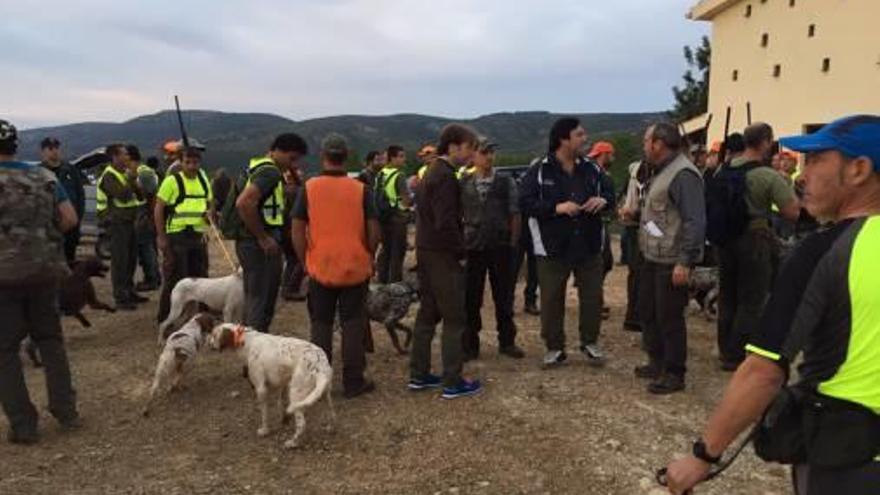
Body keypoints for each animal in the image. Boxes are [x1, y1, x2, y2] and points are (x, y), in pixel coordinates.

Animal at [211, 324, 336, 452]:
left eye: (214, 335)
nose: (209, 343)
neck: (247, 341)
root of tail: (320, 365)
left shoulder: (261, 388)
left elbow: (264, 414)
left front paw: (265, 430)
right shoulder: (282, 383)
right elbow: (280, 404)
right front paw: (283, 420)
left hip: (296, 394)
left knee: (302, 424)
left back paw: (293, 442)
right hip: (324, 394)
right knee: (332, 412)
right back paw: (330, 428)